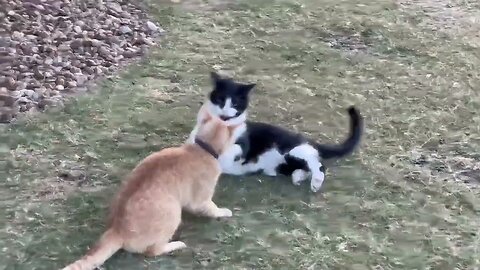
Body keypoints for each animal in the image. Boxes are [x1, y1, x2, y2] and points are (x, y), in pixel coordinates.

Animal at [62, 108, 238, 270]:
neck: (201, 149)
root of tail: (117, 229)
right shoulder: (201, 200)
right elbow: (212, 208)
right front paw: (224, 212)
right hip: (173, 211)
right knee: (153, 251)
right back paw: (176, 245)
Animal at [188, 72, 364, 192]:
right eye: (221, 100)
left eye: (235, 104)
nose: (225, 114)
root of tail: (306, 139)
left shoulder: (242, 142)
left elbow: (235, 148)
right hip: (286, 163)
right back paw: (299, 177)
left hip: (295, 150)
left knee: (319, 164)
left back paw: (316, 181)